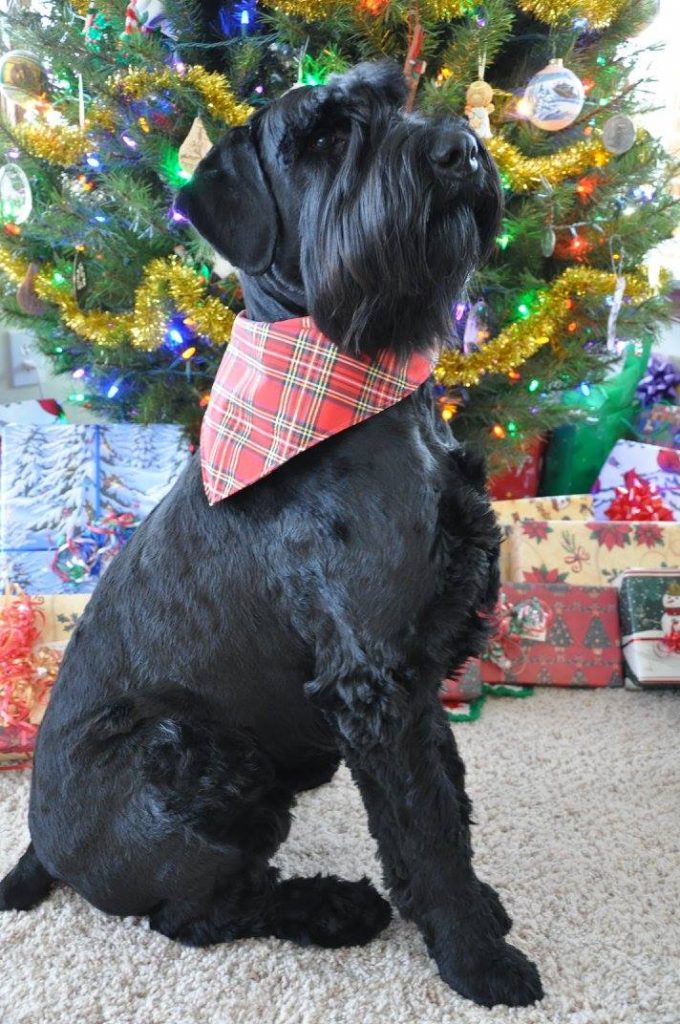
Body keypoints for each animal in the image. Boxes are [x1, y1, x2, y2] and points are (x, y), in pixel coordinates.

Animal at [0, 61, 540, 1007]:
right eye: (321, 137)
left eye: (395, 97)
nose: (463, 150)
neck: (361, 390)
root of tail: (45, 852)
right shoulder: (376, 680)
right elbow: (428, 826)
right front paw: (479, 959)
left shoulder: (414, 668)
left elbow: (446, 796)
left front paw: (476, 910)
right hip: (185, 751)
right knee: (200, 912)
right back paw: (335, 909)